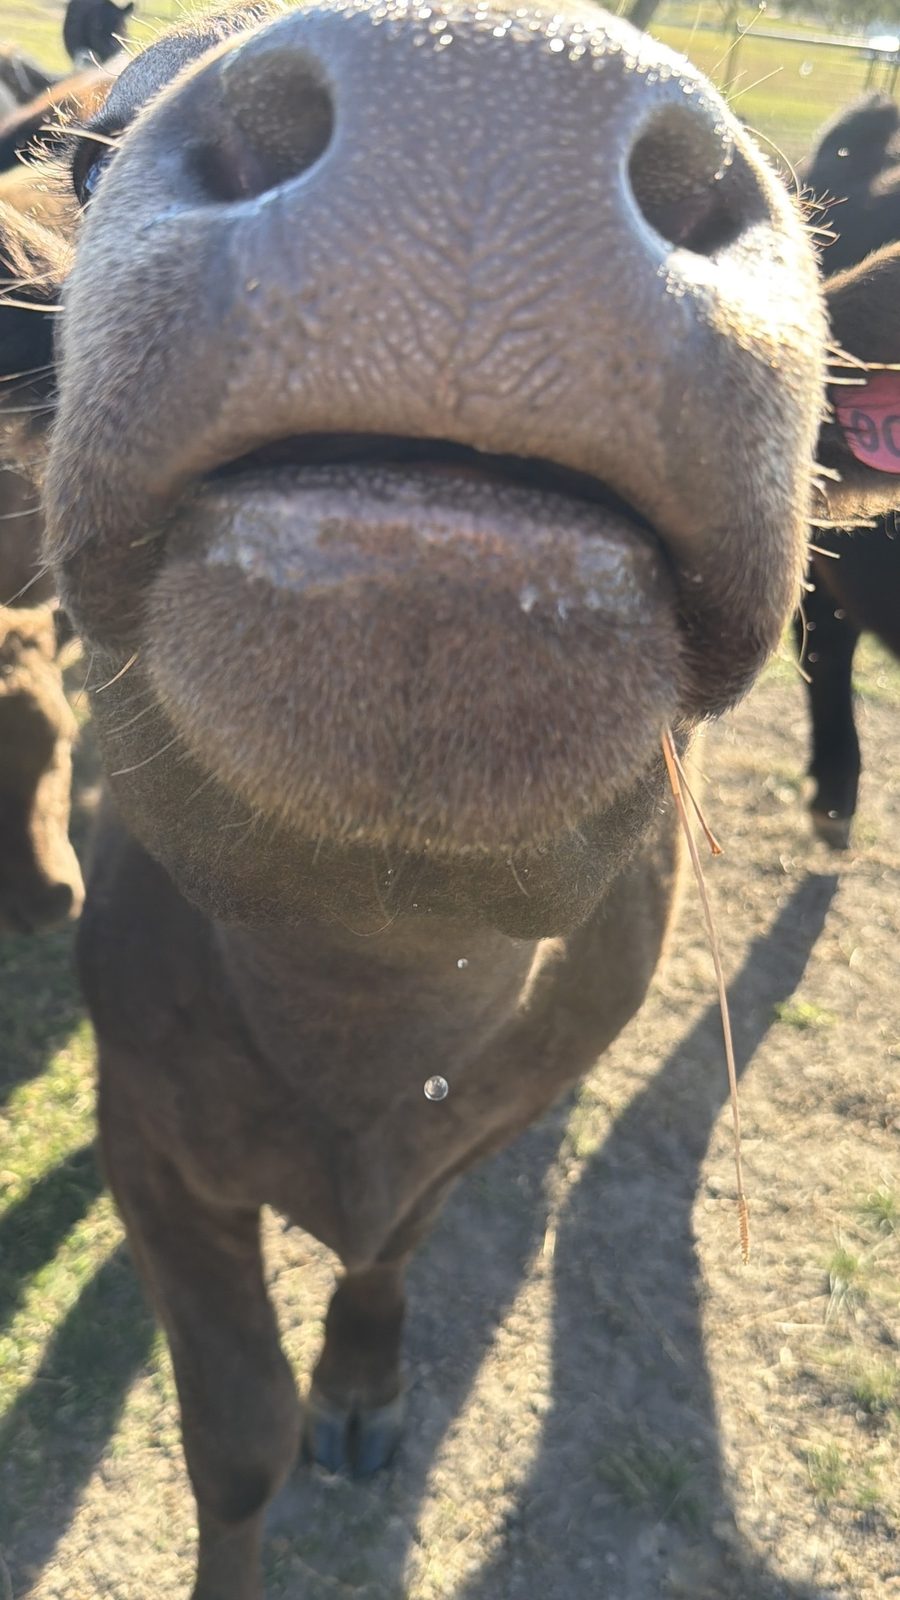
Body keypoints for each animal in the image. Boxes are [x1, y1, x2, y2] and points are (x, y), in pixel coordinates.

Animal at [5, 2, 899, 1594]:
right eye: (86, 157)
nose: (483, 103)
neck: (370, 996)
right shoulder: (148, 1136)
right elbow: (235, 1436)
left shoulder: (478, 1122)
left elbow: (390, 1256)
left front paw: (361, 1385)